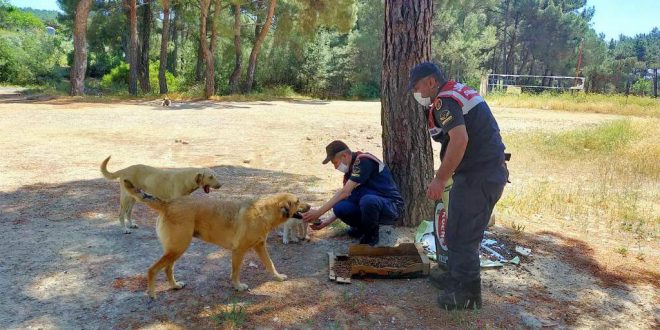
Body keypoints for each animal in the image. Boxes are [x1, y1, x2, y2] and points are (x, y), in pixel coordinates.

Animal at [122, 180, 312, 300]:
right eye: (298, 201)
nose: (310, 207)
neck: (264, 212)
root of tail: (168, 204)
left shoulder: (260, 247)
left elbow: (270, 265)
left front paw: (278, 278)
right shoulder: (239, 251)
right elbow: (236, 272)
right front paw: (238, 287)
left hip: (176, 250)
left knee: (168, 269)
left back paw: (175, 286)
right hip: (177, 249)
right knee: (152, 270)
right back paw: (152, 293)